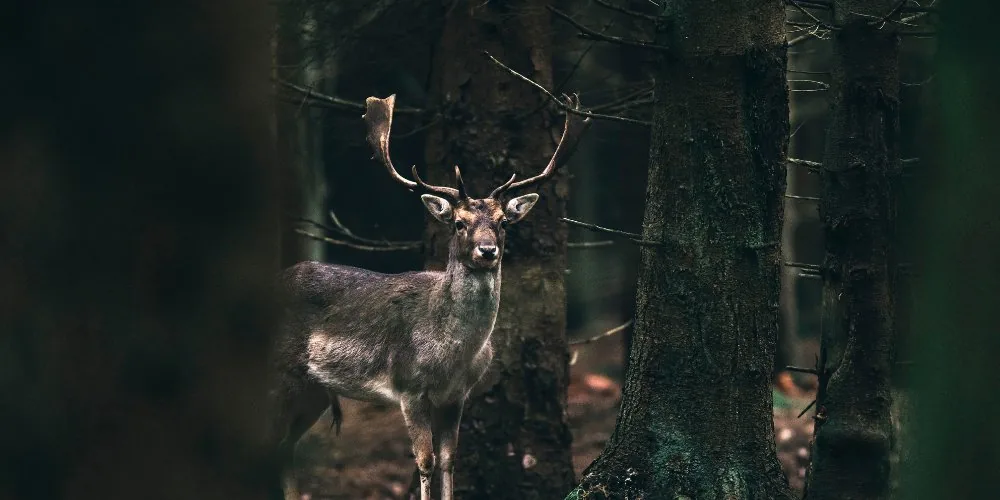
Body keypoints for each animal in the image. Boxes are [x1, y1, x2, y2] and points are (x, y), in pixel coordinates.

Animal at [268, 94, 589, 500]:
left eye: (503, 222)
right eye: (459, 223)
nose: (487, 251)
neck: (452, 354)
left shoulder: (458, 395)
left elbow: (450, 460)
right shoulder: (408, 387)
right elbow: (425, 461)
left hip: (311, 390)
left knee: (283, 449)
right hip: (280, 374)